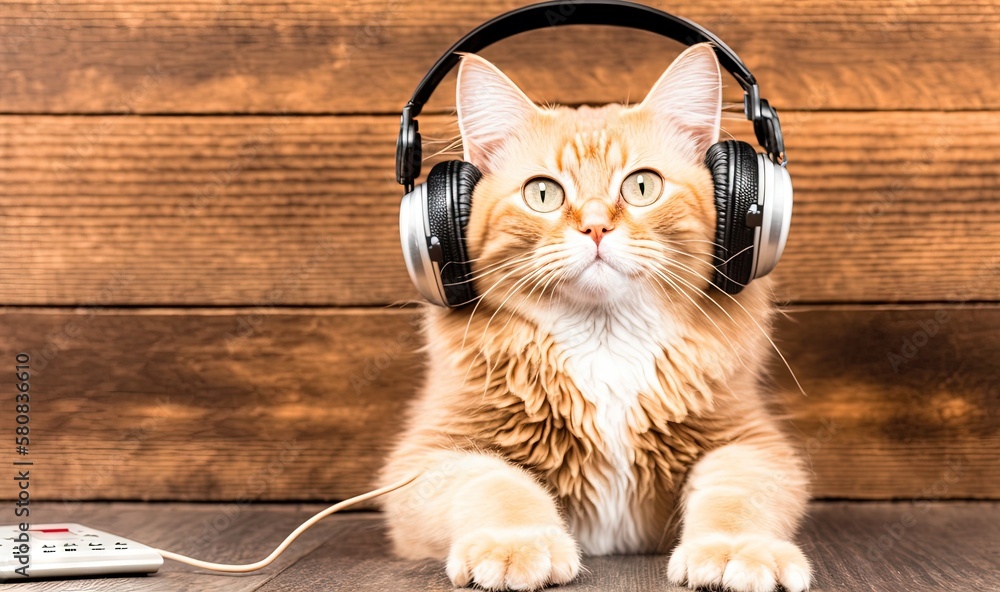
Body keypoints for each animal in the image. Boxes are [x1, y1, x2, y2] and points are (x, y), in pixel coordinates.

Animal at [378, 42, 808, 592]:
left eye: (642, 187)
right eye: (543, 193)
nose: (597, 227)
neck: (605, 341)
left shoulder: (752, 443)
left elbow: (735, 496)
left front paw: (736, 549)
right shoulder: (426, 457)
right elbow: (495, 484)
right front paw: (516, 544)